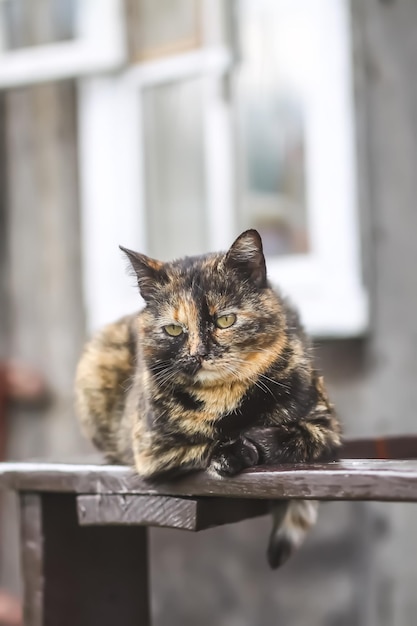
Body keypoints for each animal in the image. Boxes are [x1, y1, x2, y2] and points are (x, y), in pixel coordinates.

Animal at [75, 229, 342, 564]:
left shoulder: (325, 426)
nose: (199, 354)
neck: (224, 397)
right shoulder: (151, 450)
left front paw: (247, 443)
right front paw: (232, 451)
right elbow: (202, 445)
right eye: (174, 329)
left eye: (225, 320)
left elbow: (285, 434)